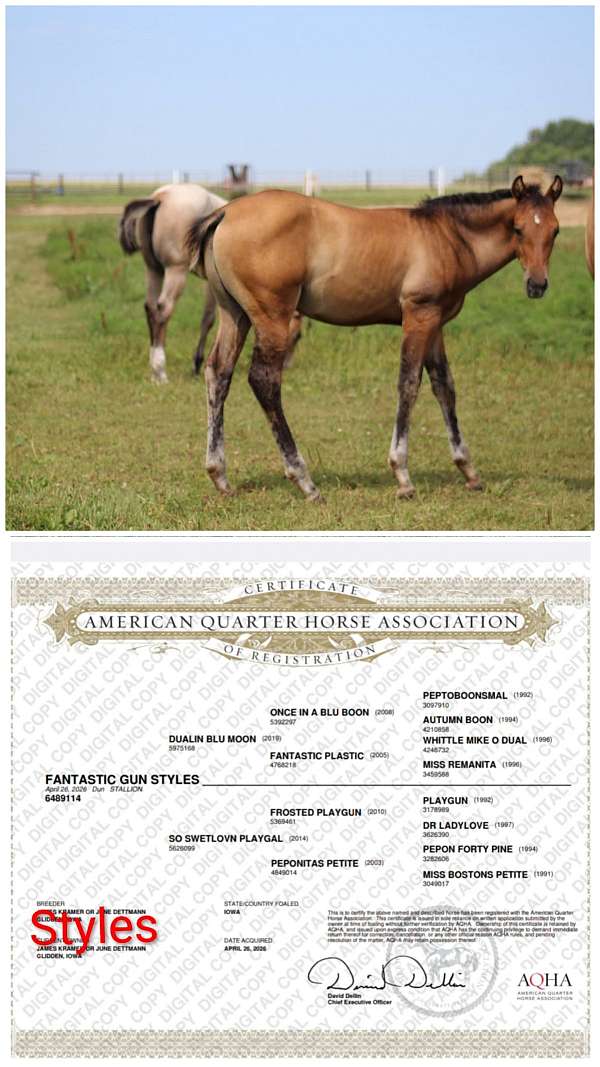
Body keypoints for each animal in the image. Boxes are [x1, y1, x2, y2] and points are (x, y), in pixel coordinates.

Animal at [119, 183, 226, 383]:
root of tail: (160, 197)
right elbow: (208, 319)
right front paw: (196, 364)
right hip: (175, 271)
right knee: (164, 308)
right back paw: (160, 370)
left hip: (154, 270)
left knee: (150, 308)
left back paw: (154, 371)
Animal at [187, 175, 562, 501]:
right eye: (517, 228)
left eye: (555, 230)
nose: (537, 285)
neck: (445, 238)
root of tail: (225, 212)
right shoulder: (418, 316)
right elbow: (409, 384)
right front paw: (403, 476)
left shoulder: (436, 323)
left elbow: (444, 386)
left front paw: (468, 471)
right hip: (272, 317)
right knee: (264, 380)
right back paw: (304, 481)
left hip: (234, 314)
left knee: (218, 373)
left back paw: (220, 476)